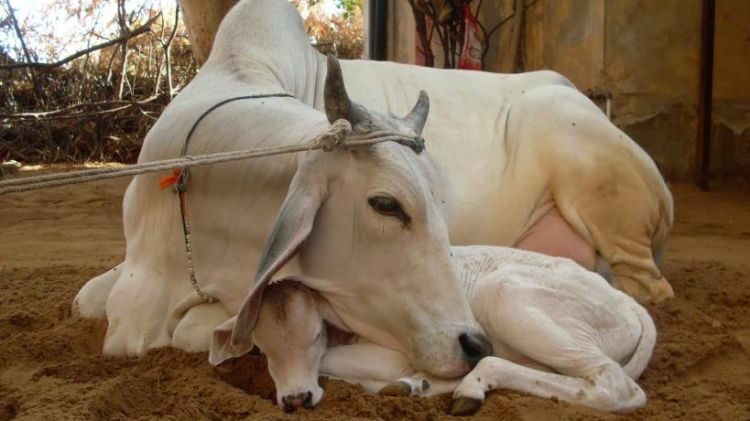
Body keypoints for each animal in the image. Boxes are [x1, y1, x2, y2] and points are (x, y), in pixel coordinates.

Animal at [247, 246, 656, 414]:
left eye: (315, 334)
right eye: (261, 349)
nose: (296, 399)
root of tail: (629, 303)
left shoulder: (391, 352)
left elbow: (334, 360)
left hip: (505, 294)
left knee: (613, 385)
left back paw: (468, 388)